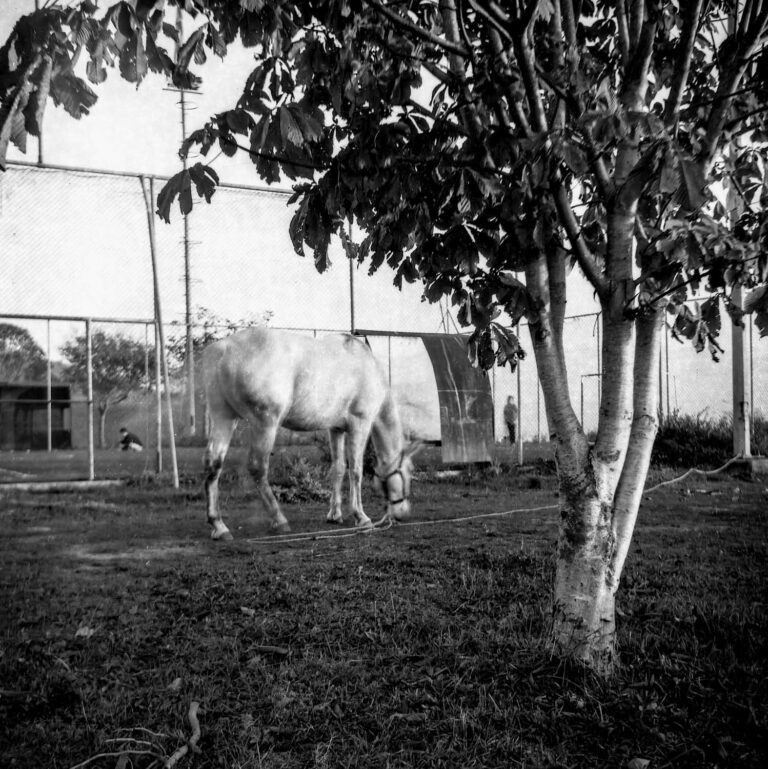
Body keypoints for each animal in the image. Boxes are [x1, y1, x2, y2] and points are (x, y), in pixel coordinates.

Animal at [202, 327, 419, 539]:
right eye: (407, 473)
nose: (403, 513)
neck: (367, 366)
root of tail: (225, 348)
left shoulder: (336, 429)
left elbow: (338, 468)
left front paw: (335, 515)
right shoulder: (360, 424)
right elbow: (356, 471)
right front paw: (361, 517)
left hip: (223, 418)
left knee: (214, 465)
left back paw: (219, 527)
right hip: (264, 423)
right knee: (257, 467)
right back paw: (279, 520)